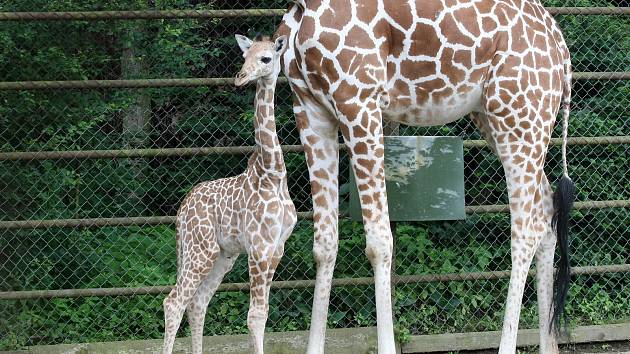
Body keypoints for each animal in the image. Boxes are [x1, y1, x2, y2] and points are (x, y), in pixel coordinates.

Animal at [163, 34, 296, 354]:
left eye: (266, 58)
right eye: (244, 57)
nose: (240, 77)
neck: (273, 174)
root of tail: (182, 210)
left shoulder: (277, 248)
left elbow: (263, 312)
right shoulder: (259, 246)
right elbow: (255, 315)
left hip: (222, 255)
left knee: (197, 302)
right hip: (199, 250)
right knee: (174, 302)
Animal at [274, 1, 576, 352]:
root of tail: (561, 47)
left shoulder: (358, 100)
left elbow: (379, 243)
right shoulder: (310, 108)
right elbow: (324, 245)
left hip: (521, 116)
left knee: (525, 232)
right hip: (499, 118)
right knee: (546, 211)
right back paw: (548, 344)